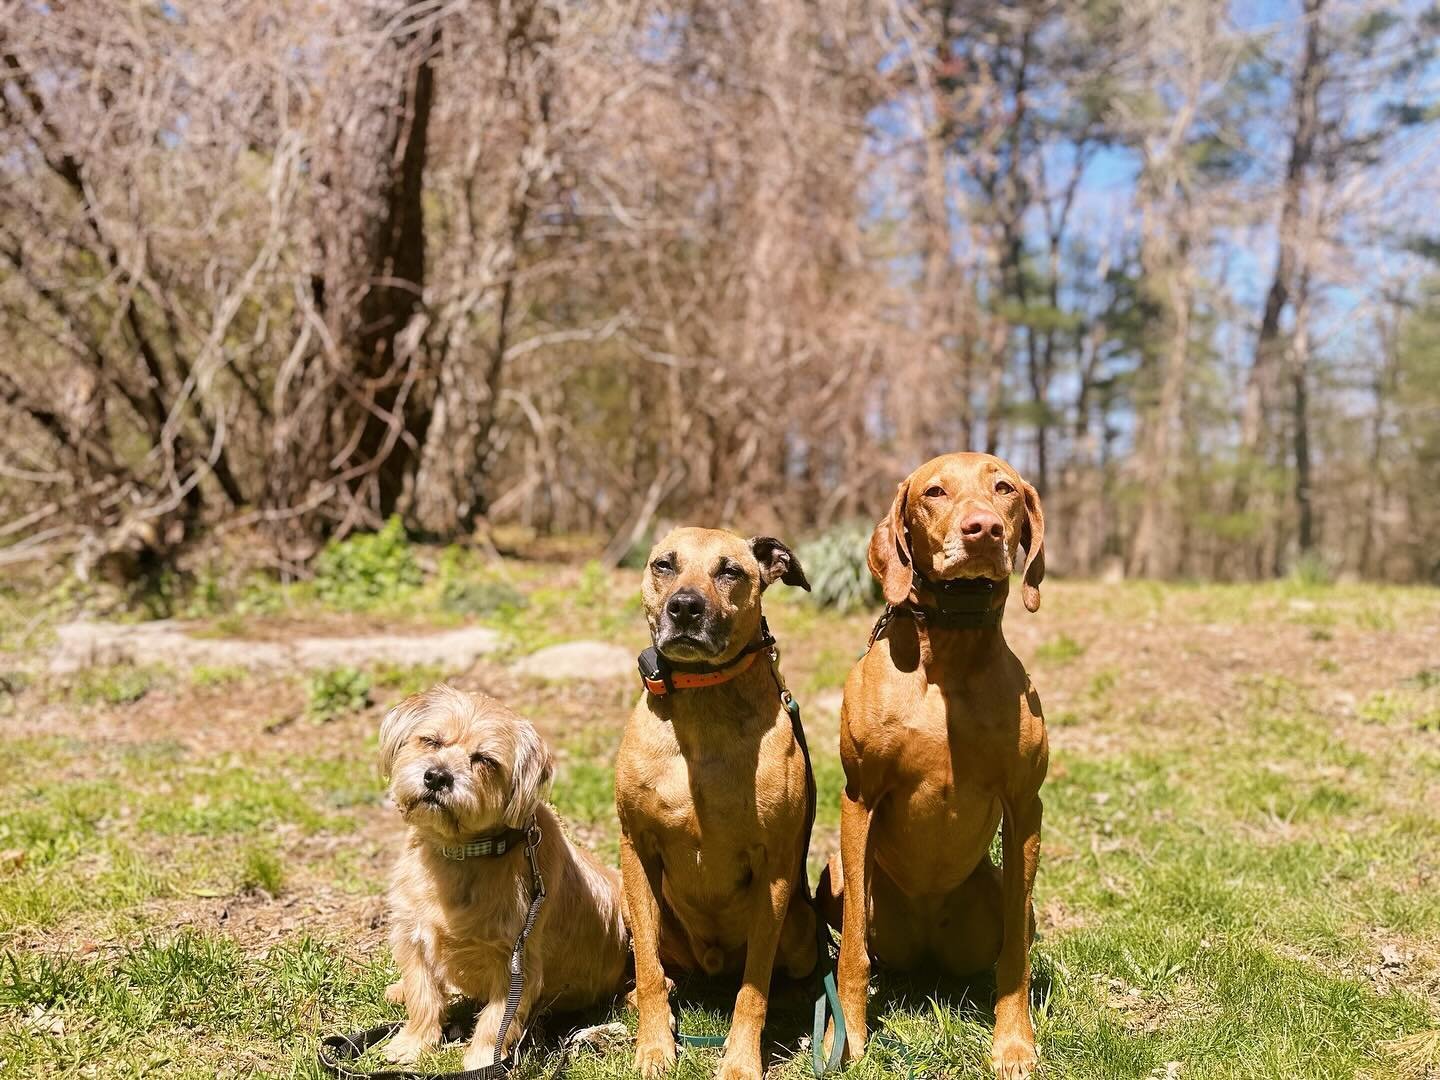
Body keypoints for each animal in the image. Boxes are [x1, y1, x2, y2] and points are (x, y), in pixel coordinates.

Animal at [380, 688, 627, 1071]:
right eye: (431, 741)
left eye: (484, 760)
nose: (437, 777)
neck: (463, 854)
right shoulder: (412, 935)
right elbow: (423, 993)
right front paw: (413, 1043)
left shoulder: (516, 960)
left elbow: (497, 1019)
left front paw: (483, 1061)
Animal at [616, 529, 823, 1080]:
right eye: (663, 565)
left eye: (730, 571)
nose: (685, 607)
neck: (702, 700)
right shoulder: (635, 848)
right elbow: (647, 967)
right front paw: (654, 1047)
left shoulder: (774, 871)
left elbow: (754, 987)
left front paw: (741, 1059)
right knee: (659, 966)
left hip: (801, 925)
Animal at [823, 455, 1048, 1080]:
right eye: (935, 492)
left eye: (1005, 488)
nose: (984, 529)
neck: (949, 650)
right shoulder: (859, 797)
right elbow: (852, 951)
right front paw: (847, 1037)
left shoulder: (1026, 806)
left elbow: (1014, 956)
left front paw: (1013, 1043)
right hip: (835, 869)